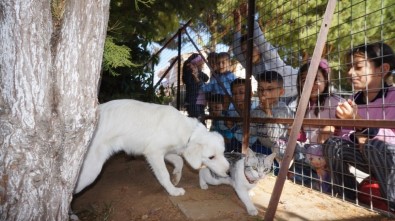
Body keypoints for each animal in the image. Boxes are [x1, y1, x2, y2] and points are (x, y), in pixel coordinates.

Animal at [74, 99, 230, 196]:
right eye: (211, 157)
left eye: (223, 153)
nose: (229, 172)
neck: (187, 130)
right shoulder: (153, 153)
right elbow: (164, 174)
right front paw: (173, 191)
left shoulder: (165, 152)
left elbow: (179, 161)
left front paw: (176, 177)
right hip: (91, 171)